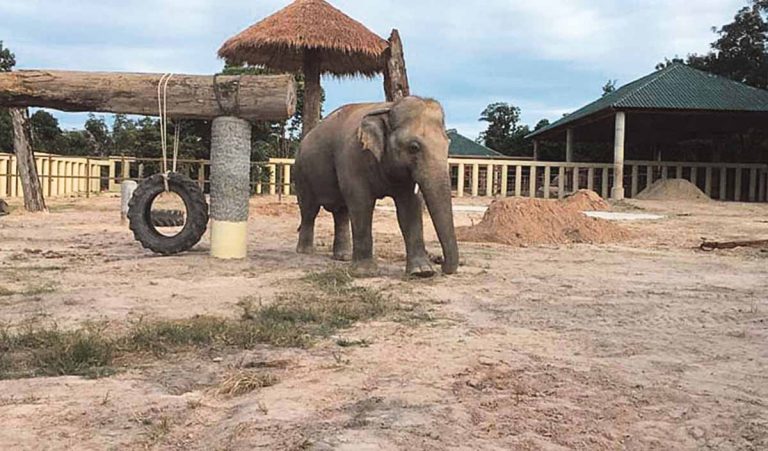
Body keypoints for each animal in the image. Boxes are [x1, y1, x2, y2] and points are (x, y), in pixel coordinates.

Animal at [294, 96, 459, 277]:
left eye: (448, 144)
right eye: (414, 147)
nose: (442, 265)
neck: (389, 107)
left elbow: (409, 208)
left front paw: (422, 272)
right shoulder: (353, 156)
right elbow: (361, 203)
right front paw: (364, 273)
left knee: (341, 213)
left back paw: (343, 257)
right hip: (302, 173)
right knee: (309, 211)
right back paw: (305, 251)